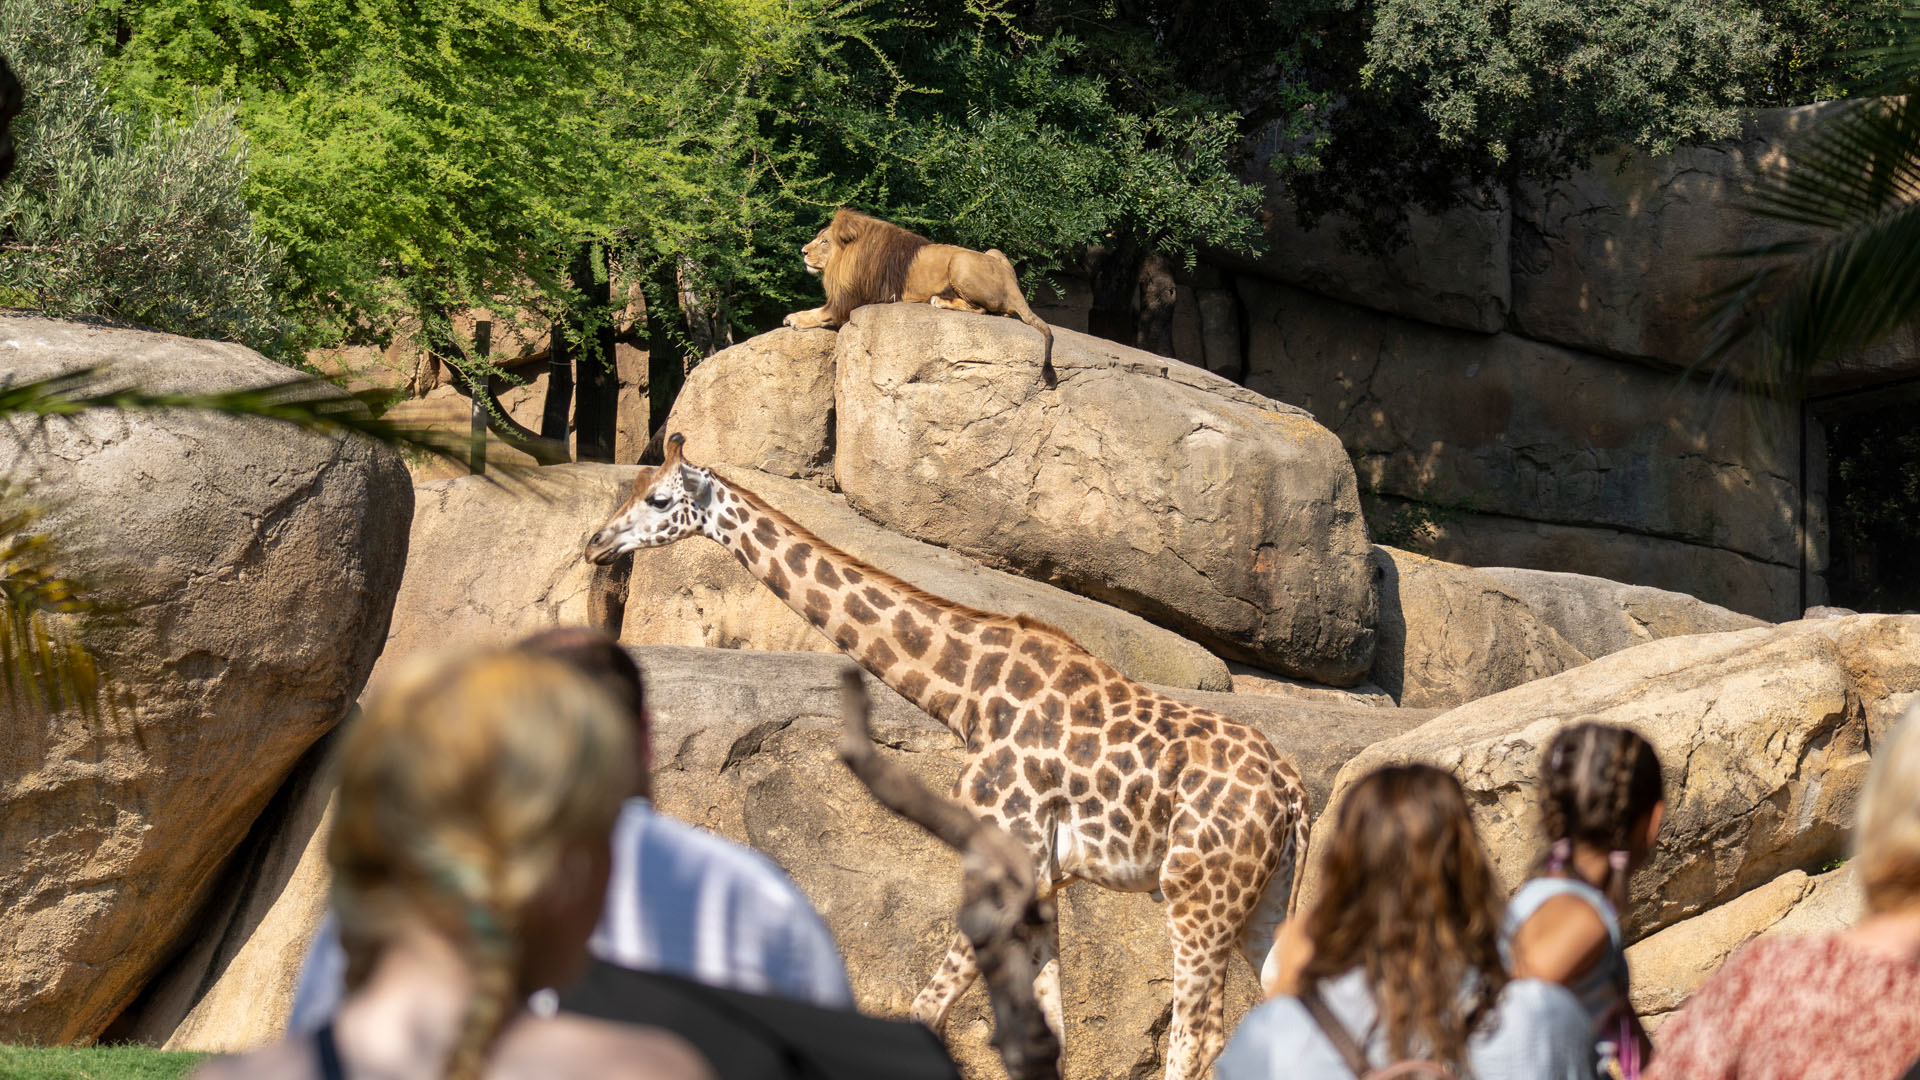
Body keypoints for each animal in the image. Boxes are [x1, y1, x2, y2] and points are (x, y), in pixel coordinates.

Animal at [585, 435, 1311, 1080]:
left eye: (656, 498)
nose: (594, 543)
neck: (969, 694)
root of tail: (1293, 795)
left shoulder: (1006, 856)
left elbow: (927, 1009)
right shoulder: (1045, 876)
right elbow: (1050, 1036)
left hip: (1197, 896)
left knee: (1196, 1039)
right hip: (1262, 903)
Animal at [782, 209, 1056, 383]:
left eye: (824, 242)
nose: (803, 251)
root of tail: (1012, 284)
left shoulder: (853, 299)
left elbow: (822, 313)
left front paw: (796, 319)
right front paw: (793, 315)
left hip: (959, 260)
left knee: (983, 309)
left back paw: (940, 301)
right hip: (994, 251)